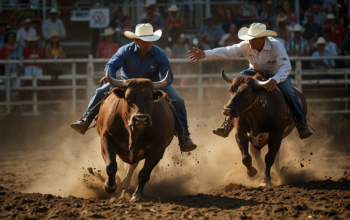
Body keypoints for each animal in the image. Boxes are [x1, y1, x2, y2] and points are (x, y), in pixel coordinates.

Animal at [96, 70, 174, 201]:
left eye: (149, 99)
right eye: (127, 98)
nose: (141, 119)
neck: (133, 133)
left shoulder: (158, 148)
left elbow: (144, 173)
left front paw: (137, 195)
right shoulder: (106, 139)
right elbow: (111, 165)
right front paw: (110, 186)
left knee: (133, 166)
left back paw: (125, 184)